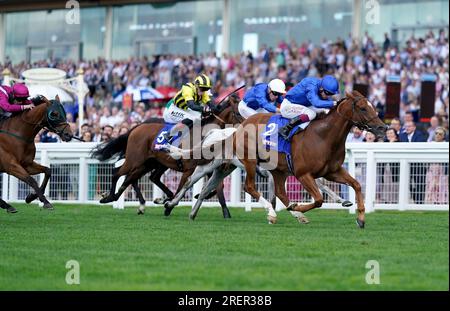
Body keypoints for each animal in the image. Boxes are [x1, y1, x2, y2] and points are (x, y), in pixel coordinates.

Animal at [90, 95, 243, 217]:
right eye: (237, 113)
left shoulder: (209, 166)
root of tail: (136, 127)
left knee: (139, 177)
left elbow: (217, 187)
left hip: (149, 163)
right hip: (135, 160)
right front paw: (168, 206)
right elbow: (184, 187)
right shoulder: (188, 169)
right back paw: (110, 197)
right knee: (119, 172)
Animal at [189, 91, 386, 228]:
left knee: (279, 192)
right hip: (249, 161)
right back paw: (273, 213)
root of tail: (238, 129)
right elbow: (318, 199)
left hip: (276, 170)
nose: (383, 128)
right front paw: (295, 207)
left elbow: (357, 185)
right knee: (249, 186)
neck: (323, 136)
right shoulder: (303, 174)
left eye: (372, 106)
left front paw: (360, 218)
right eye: (363, 108)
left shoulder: (333, 171)